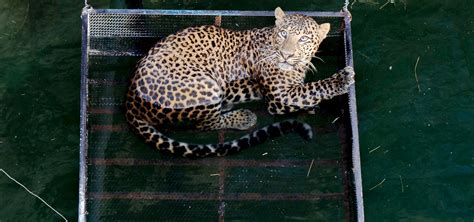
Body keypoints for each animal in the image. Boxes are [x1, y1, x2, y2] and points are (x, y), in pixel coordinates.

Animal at [126, 7, 356, 158]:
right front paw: (341, 80)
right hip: (207, 86)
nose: (286, 55)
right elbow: (314, 88)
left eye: (304, 39)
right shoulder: (279, 97)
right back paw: (243, 117)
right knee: (205, 124)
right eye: (284, 34)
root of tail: (131, 98)